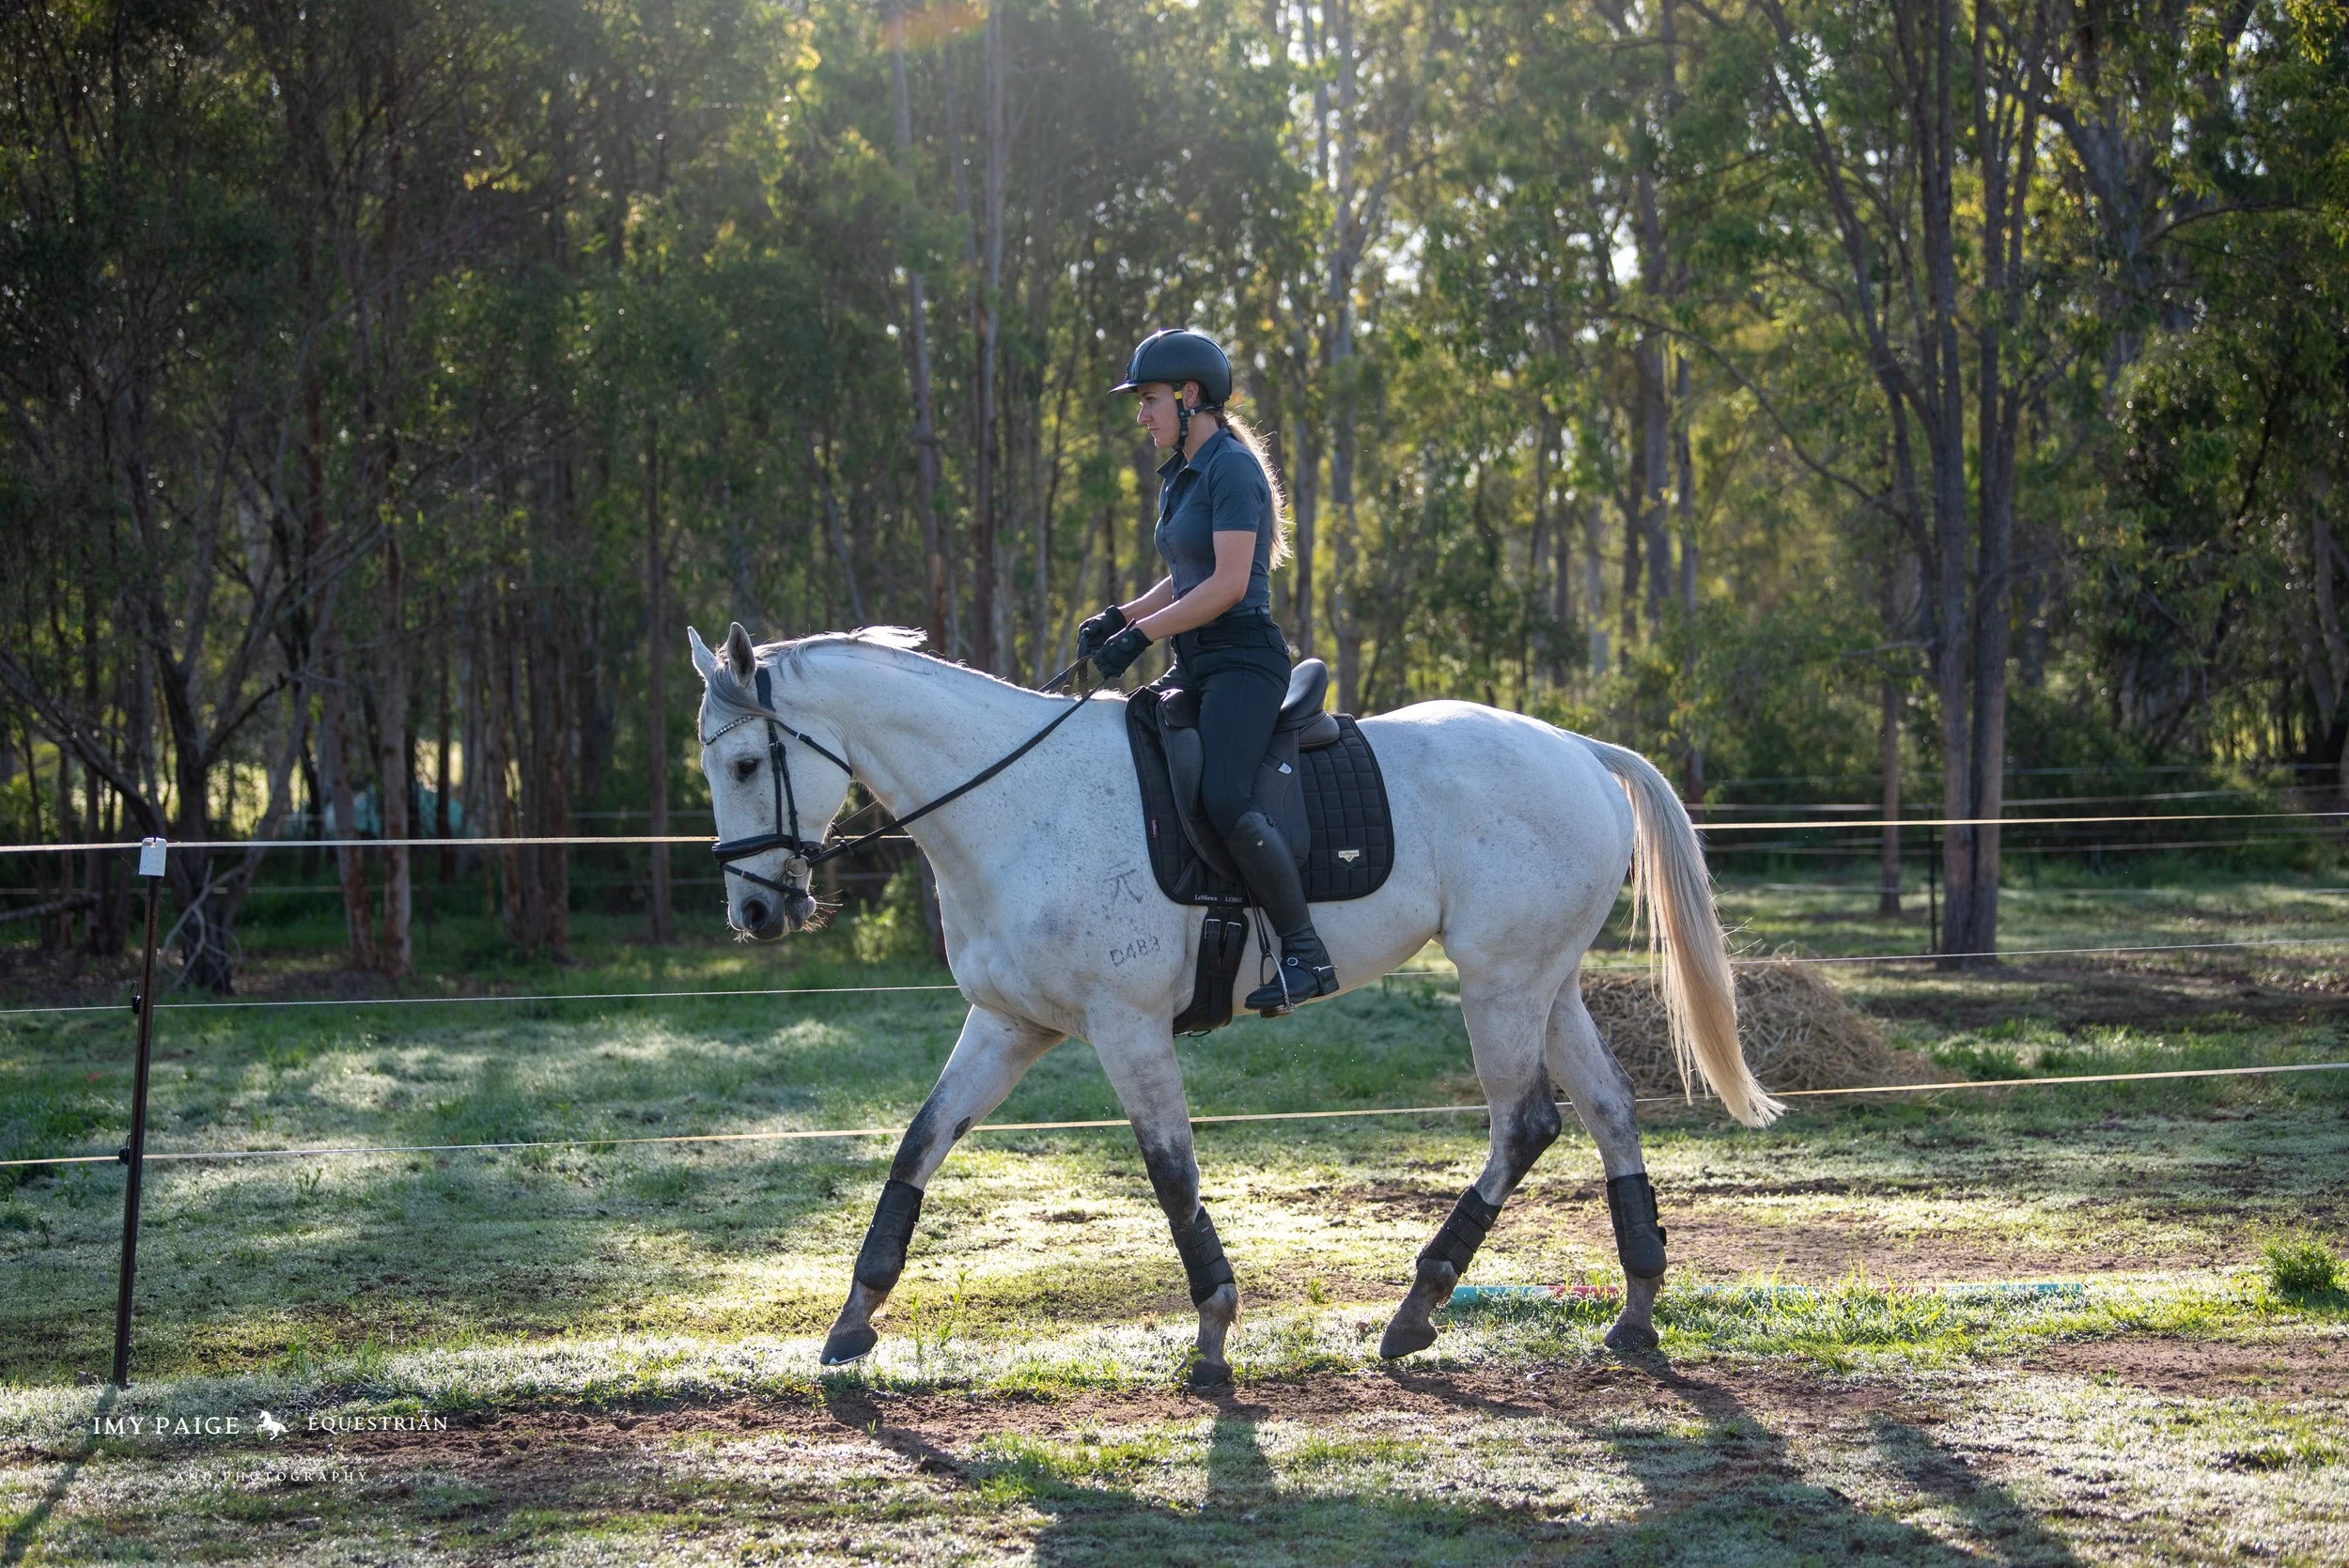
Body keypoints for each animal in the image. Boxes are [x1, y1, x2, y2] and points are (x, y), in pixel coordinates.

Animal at [689, 621, 1779, 1384]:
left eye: (743, 764)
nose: (752, 912)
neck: (1016, 804)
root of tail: (1579, 749)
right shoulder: (1011, 1024)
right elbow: (918, 1145)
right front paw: (853, 1319)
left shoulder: (1125, 1024)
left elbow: (1171, 1171)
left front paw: (1213, 1330)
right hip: (1543, 981)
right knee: (1609, 1110)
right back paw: (1635, 1306)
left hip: (1500, 982)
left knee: (1525, 1123)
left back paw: (1418, 1306)